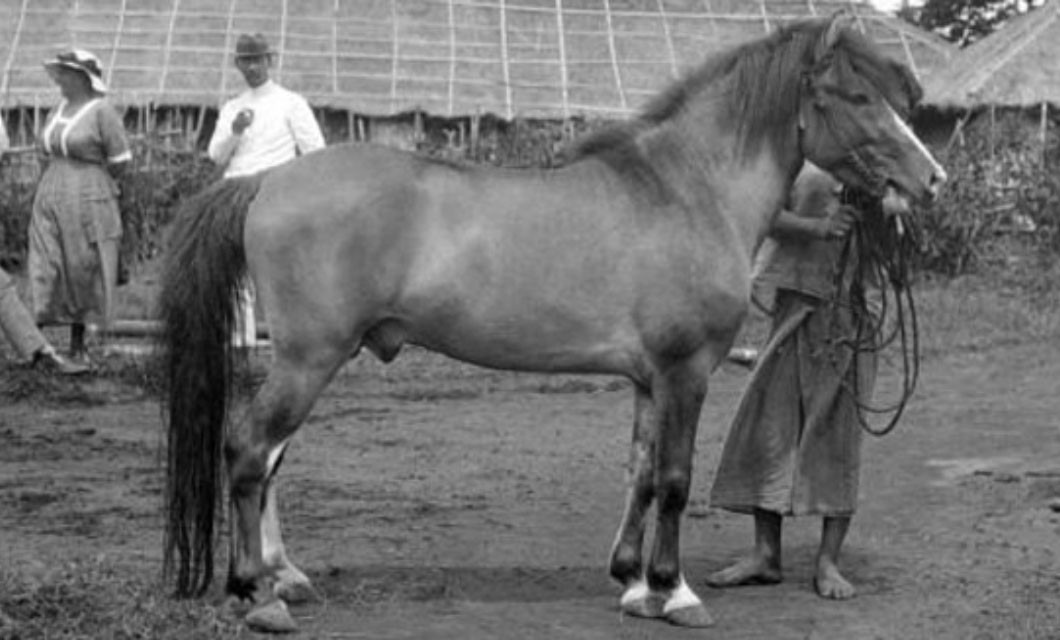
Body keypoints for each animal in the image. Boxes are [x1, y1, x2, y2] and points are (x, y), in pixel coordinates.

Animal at [163, 14, 945, 635]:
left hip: (311, 358)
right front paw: (675, 592)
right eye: (858, 96)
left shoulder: (649, 379)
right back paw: (257, 593)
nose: (930, 179)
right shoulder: (685, 372)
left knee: (268, 459)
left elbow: (640, 471)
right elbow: (676, 478)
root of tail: (266, 181)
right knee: (249, 451)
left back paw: (283, 576)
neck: (686, 190)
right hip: (307, 358)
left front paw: (632, 581)